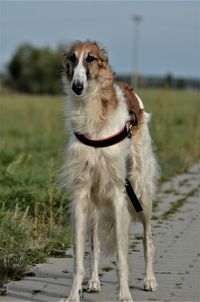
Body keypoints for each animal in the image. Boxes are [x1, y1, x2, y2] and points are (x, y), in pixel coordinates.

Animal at [61, 40, 158, 302]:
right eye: (72, 59)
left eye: (91, 58)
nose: (77, 87)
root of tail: (128, 86)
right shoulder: (82, 194)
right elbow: (80, 260)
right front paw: (74, 294)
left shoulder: (118, 193)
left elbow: (122, 259)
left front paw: (124, 295)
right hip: (96, 202)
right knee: (95, 243)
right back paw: (94, 281)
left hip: (140, 191)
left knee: (147, 239)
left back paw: (149, 279)